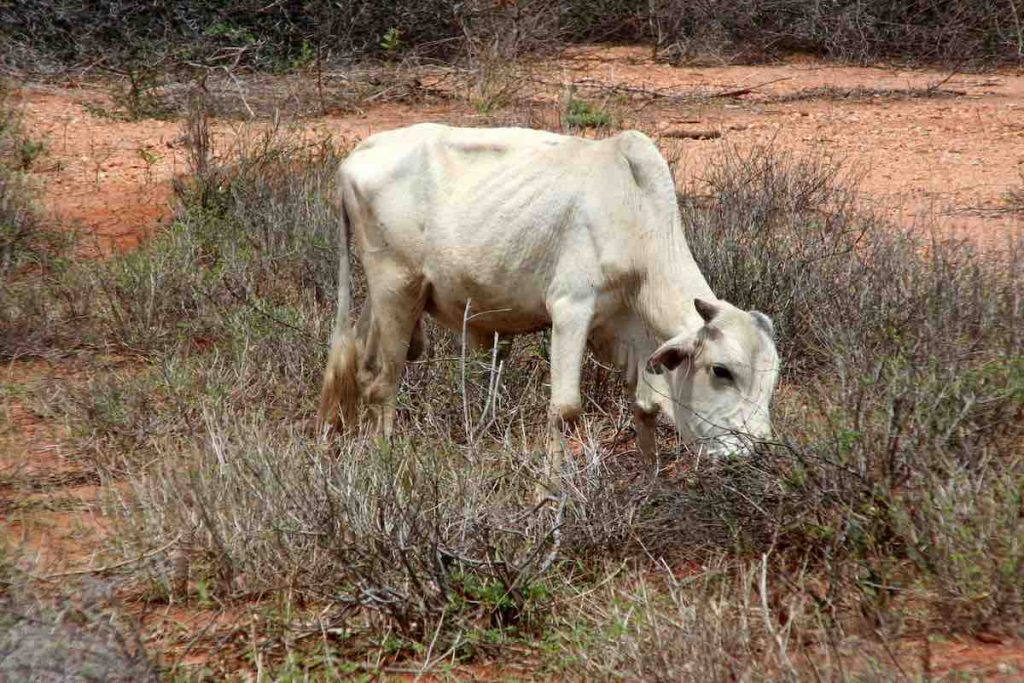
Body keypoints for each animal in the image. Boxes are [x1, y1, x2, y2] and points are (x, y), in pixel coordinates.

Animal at [318, 123, 780, 482]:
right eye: (721, 370)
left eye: (772, 380)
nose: (753, 452)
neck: (635, 216)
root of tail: (355, 156)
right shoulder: (572, 307)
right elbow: (565, 409)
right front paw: (552, 489)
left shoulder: (629, 331)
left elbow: (644, 407)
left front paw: (651, 482)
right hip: (395, 287)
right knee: (384, 381)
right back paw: (382, 464)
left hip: (385, 299)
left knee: (362, 369)